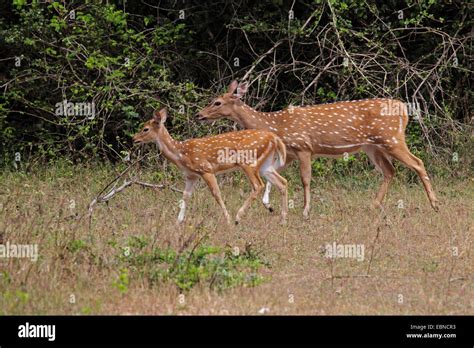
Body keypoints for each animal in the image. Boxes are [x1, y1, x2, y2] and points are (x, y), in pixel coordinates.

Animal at [133, 107, 288, 224]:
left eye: (145, 129)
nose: (134, 139)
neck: (181, 154)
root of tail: (274, 138)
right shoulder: (191, 175)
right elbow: (185, 196)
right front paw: (178, 221)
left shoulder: (205, 169)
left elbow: (216, 194)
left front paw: (227, 219)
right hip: (265, 165)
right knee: (282, 182)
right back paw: (282, 219)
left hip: (248, 162)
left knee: (258, 185)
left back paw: (238, 217)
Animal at [196, 82, 436, 218]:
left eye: (217, 102)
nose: (199, 115)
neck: (276, 125)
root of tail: (404, 108)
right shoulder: (289, 154)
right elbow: (273, 177)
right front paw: (269, 206)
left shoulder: (303, 147)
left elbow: (305, 179)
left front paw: (305, 211)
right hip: (373, 146)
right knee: (389, 170)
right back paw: (374, 205)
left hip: (392, 138)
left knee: (417, 162)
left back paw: (435, 203)